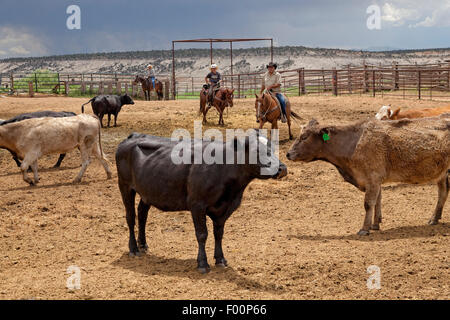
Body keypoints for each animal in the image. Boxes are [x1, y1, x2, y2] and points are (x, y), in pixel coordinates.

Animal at [114, 131, 286, 274]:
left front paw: (220, 259)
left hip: (147, 192)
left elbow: (219, 234)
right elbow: (202, 234)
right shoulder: (197, 205)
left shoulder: (225, 209)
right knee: (131, 217)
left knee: (142, 214)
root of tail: (134, 136)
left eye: (272, 148)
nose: (282, 168)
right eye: (257, 151)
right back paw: (134, 248)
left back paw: (143, 245)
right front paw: (203, 263)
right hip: (124, 186)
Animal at [286, 115, 450, 235]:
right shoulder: (375, 181)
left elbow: (368, 203)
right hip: (442, 173)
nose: (288, 154)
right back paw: (434, 218)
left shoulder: (373, 178)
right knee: (443, 192)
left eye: (304, 137)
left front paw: (364, 229)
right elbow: (377, 201)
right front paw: (375, 224)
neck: (354, 143)